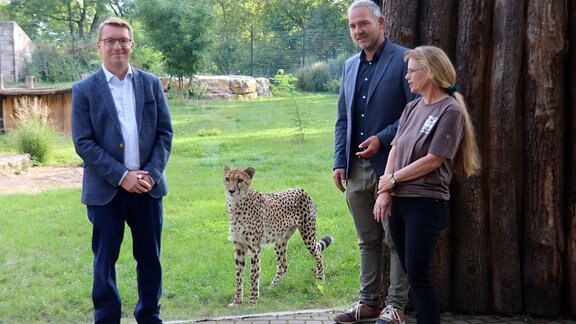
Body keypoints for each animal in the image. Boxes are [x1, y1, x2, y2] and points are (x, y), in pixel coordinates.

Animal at [224, 166, 332, 308]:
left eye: (240, 180)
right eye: (227, 178)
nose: (231, 190)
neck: (236, 203)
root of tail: (301, 189)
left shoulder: (254, 247)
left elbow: (254, 274)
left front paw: (252, 301)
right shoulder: (239, 245)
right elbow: (239, 275)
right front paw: (236, 301)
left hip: (308, 233)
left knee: (319, 254)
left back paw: (320, 279)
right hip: (280, 240)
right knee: (283, 265)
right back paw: (272, 287)